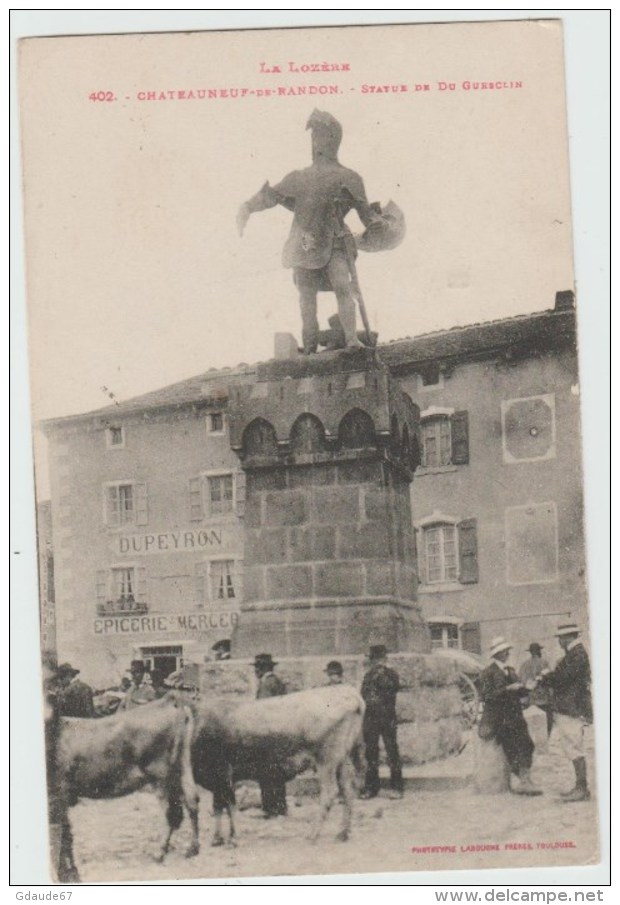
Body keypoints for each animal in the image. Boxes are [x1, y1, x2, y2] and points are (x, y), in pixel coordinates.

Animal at [54, 688, 199, 872]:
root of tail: (169, 701)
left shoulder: (62, 791)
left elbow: (64, 831)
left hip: (160, 775)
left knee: (171, 813)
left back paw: (159, 852)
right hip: (184, 764)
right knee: (191, 800)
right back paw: (192, 848)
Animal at [191, 684, 366, 848]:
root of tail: (349, 693)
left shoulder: (223, 774)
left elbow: (229, 806)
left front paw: (233, 839)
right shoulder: (216, 780)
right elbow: (218, 806)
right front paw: (217, 839)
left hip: (326, 760)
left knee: (330, 792)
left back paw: (312, 834)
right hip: (342, 760)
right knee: (348, 789)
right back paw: (342, 833)